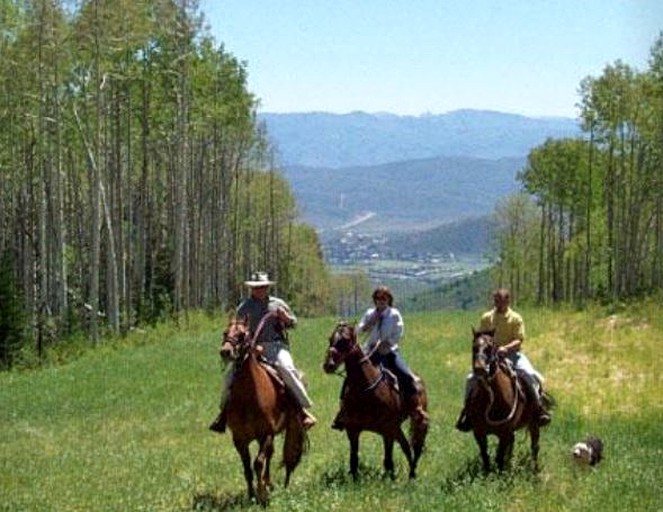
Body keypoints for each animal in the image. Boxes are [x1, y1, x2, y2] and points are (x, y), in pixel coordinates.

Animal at [220, 314, 308, 506]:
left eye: (242, 335)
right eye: (225, 332)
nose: (225, 351)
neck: (249, 398)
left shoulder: (265, 433)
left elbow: (258, 463)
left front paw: (262, 495)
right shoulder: (239, 439)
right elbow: (247, 467)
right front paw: (252, 495)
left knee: (273, 456)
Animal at [322, 320, 430, 480]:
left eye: (346, 340)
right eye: (330, 338)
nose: (328, 365)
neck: (365, 390)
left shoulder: (388, 430)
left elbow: (388, 461)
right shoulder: (353, 430)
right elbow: (354, 460)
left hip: (415, 422)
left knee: (415, 447)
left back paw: (412, 474)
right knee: (406, 446)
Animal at [470, 328, 544, 472]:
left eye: (490, 347)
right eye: (474, 347)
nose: (480, 369)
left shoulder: (504, 432)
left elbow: (499, 457)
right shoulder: (479, 432)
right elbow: (485, 455)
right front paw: (487, 473)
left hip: (534, 423)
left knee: (535, 446)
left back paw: (535, 470)